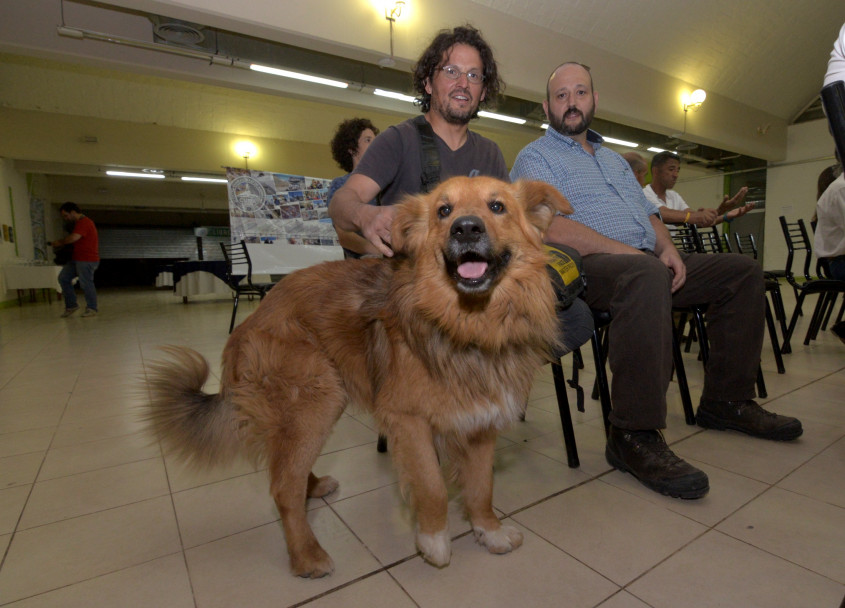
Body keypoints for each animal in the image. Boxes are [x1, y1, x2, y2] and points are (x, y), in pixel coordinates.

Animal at [143, 177, 572, 580]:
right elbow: (432, 486)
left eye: (497, 207)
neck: (469, 322)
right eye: (444, 211)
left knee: (285, 467)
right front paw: (434, 541)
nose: (466, 228)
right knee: (282, 487)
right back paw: (306, 556)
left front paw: (489, 532)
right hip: (317, 400)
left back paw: (312, 488)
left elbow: (482, 487)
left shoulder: (482, 419)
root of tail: (253, 317)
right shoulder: (408, 420)